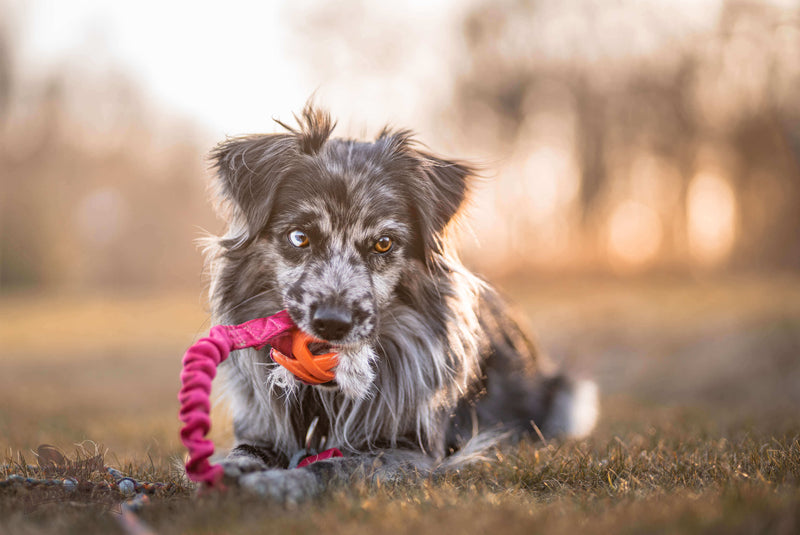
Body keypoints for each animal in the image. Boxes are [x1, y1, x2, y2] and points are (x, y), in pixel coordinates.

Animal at [203, 105, 596, 502]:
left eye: (383, 243)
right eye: (299, 237)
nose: (332, 323)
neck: (326, 405)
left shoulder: (411, 448)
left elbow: (339, 465)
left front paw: (280, 481)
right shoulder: (261, 429)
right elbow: (244, 451)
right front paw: (226, 471)